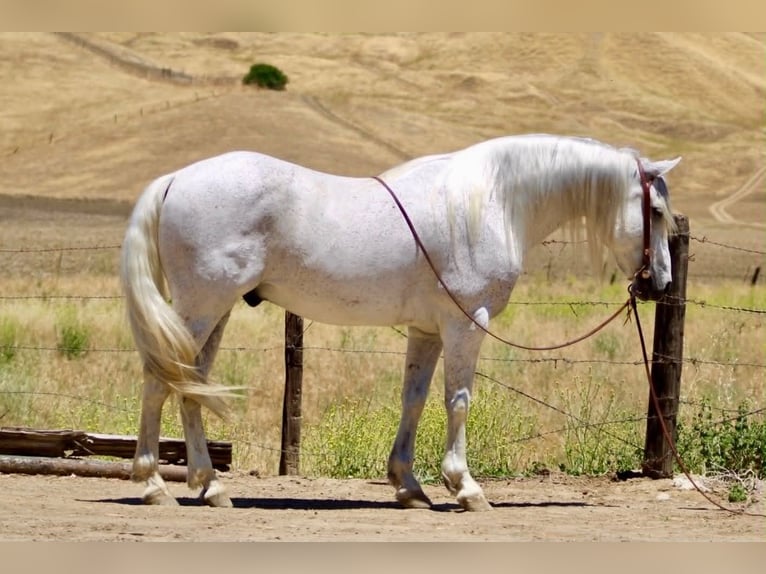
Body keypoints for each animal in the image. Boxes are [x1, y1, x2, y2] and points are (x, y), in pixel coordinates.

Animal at [120, 134, 680, 511]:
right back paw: (153, 485)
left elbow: (414, 399)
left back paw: (210, 485)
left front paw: (409, 487)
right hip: (201, 307)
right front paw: (466, 487)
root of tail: (174, 180)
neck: (491, 201)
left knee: (190, 384)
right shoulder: (465, 324)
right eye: (654, 208)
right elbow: (458, 402)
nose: (660, 284)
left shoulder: (426, 330)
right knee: (159, 381)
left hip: (214, 311)